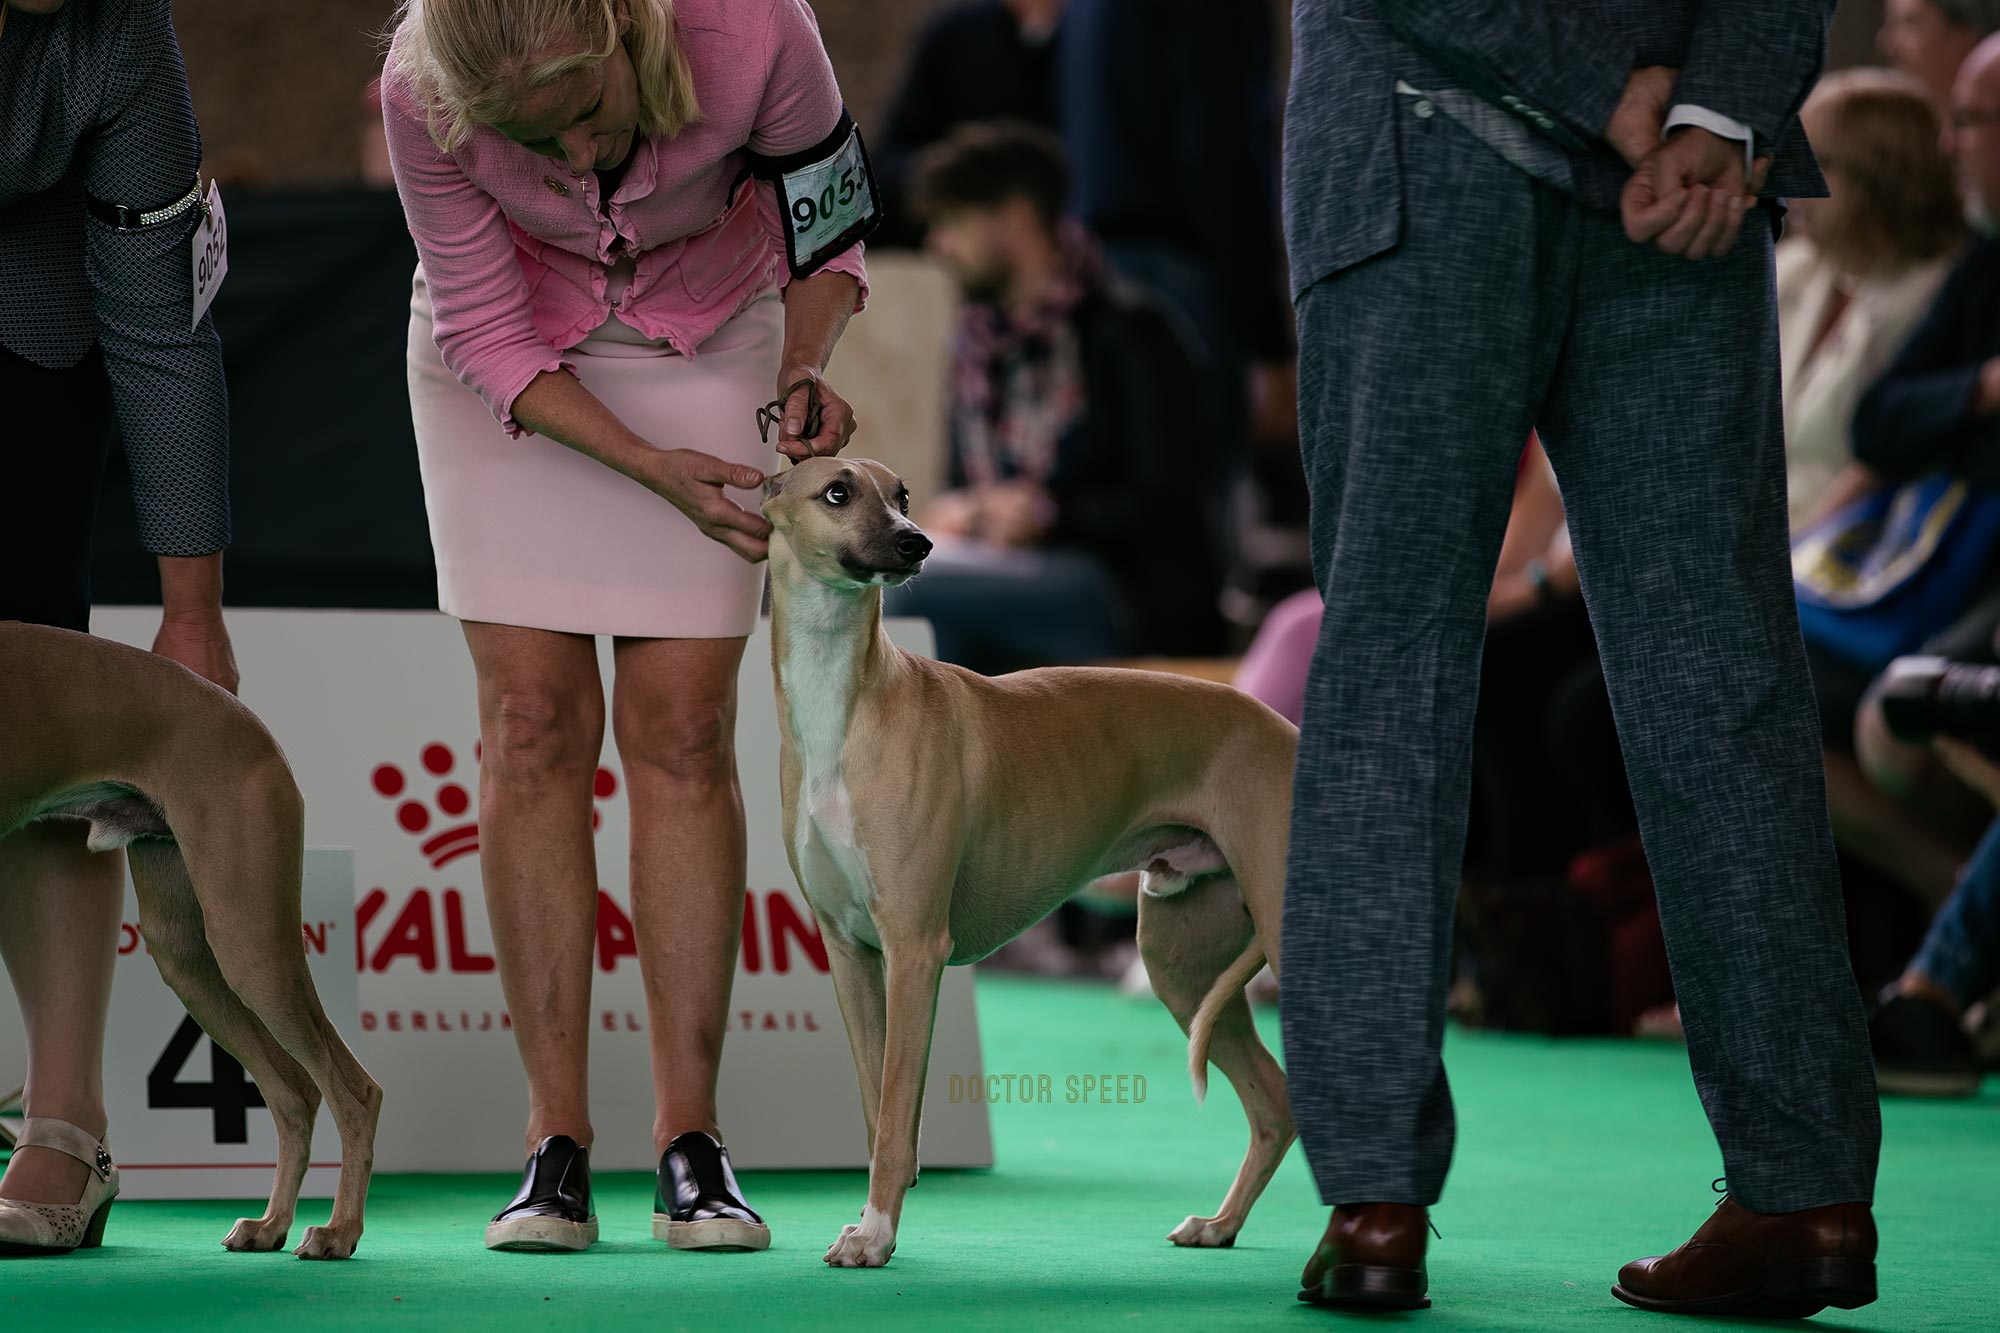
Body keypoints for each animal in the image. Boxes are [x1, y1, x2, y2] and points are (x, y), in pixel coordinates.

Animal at [0, 616, 380, 1248]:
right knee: (294, 1095)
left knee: (354, 1092)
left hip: (249, 940)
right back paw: (270, 1225)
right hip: (188, 958)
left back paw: (338, 1231)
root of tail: (251, 725)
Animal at [760, 460, 1296, 1264]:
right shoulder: (851, 951)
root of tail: (1287, 729)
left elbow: (896, 1114)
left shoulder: (915, 946)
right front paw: (869, 1222)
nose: (918, 543)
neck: (845, 711)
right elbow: (878, 1109)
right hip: (1183, 963)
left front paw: (874, 1234)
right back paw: (1219, 1224)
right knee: (1274, 1102)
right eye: (837, 491)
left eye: (904, 494)